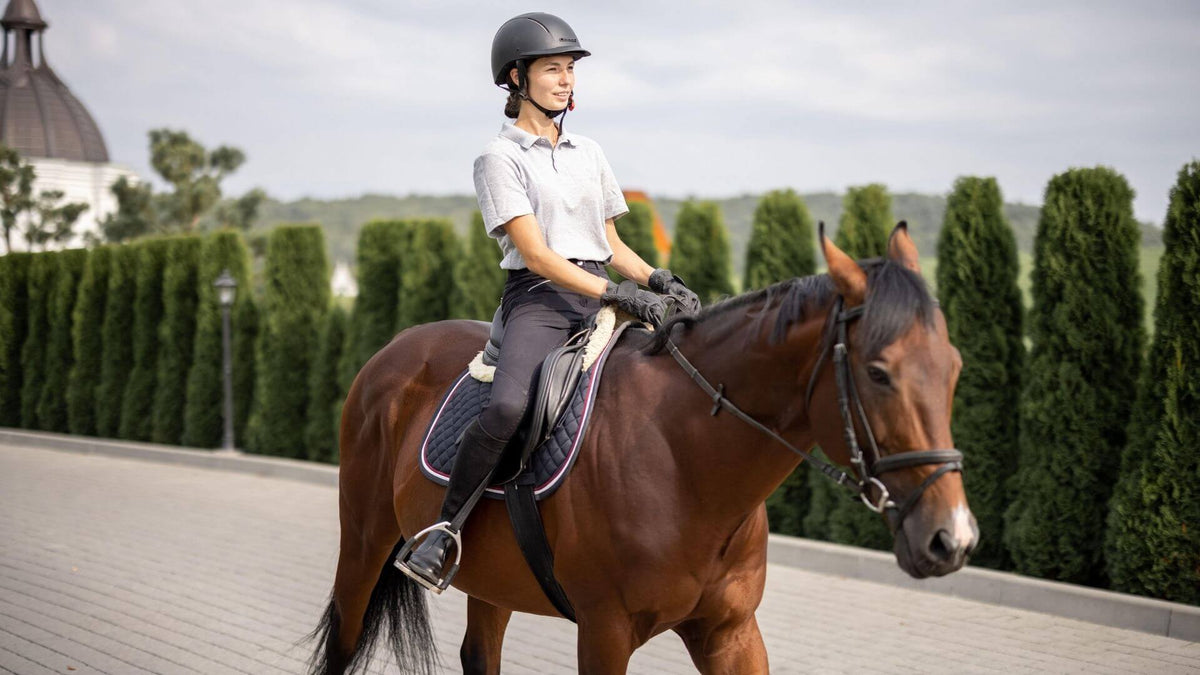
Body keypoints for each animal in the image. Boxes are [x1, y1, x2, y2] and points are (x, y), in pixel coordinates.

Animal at [306, 223, 978, 674]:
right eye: (879, 374)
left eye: (953, 368)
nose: (952, 539)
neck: (686, 462)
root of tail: (394, 350)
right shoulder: (605, 632)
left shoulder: (731, 632)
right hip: (364, 538)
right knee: (344, 639)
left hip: (489, 576)